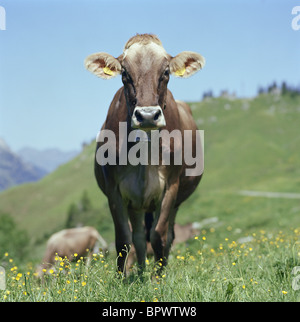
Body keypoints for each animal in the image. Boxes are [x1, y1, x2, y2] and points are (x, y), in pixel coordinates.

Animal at [85, 33, 205, 274]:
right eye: (124, 73)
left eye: (166, 72)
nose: (148, 115)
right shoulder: (114, 190)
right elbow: (124, 239)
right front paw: (122, 278)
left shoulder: (171, 186)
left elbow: (159, 236)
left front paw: (158, 278)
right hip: (137, 203)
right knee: (139, 237)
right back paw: (139, 271)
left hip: (172, 201)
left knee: (167, 235)